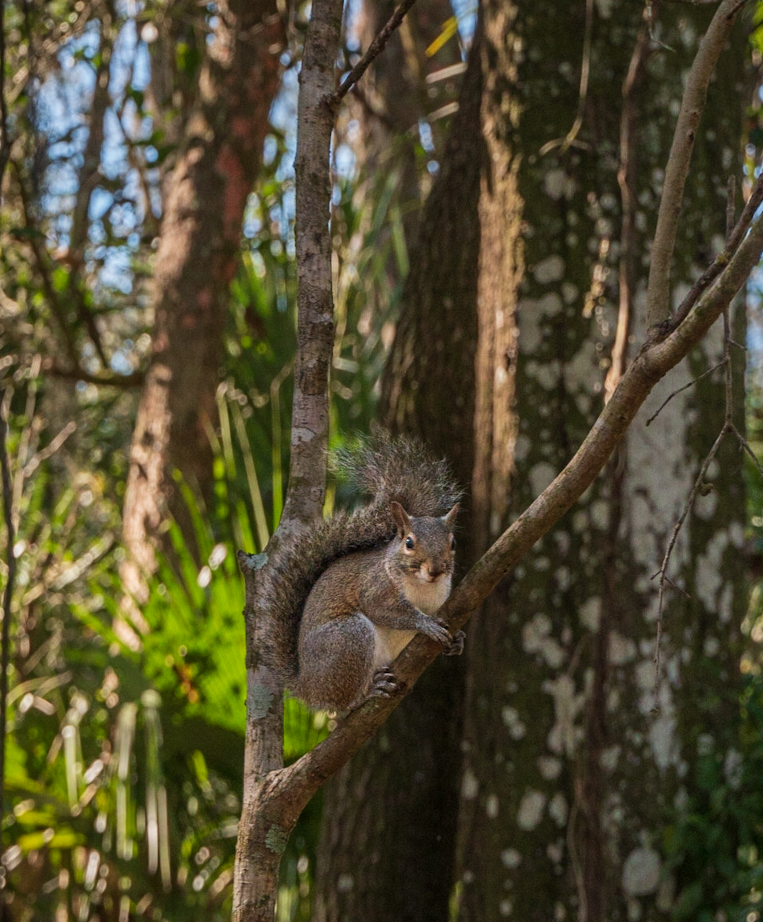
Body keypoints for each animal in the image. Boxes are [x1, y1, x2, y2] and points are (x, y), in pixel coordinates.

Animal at [262, 432, 466, 712]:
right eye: (409, 543)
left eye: (453, 543)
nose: (435, 570)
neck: (423, 586)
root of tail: (307, 687)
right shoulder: (374, 587)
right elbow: (385, 610)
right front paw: (425, 623)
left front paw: (458, 640)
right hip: (349, 639)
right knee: (344, 702)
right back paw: (368, 691)